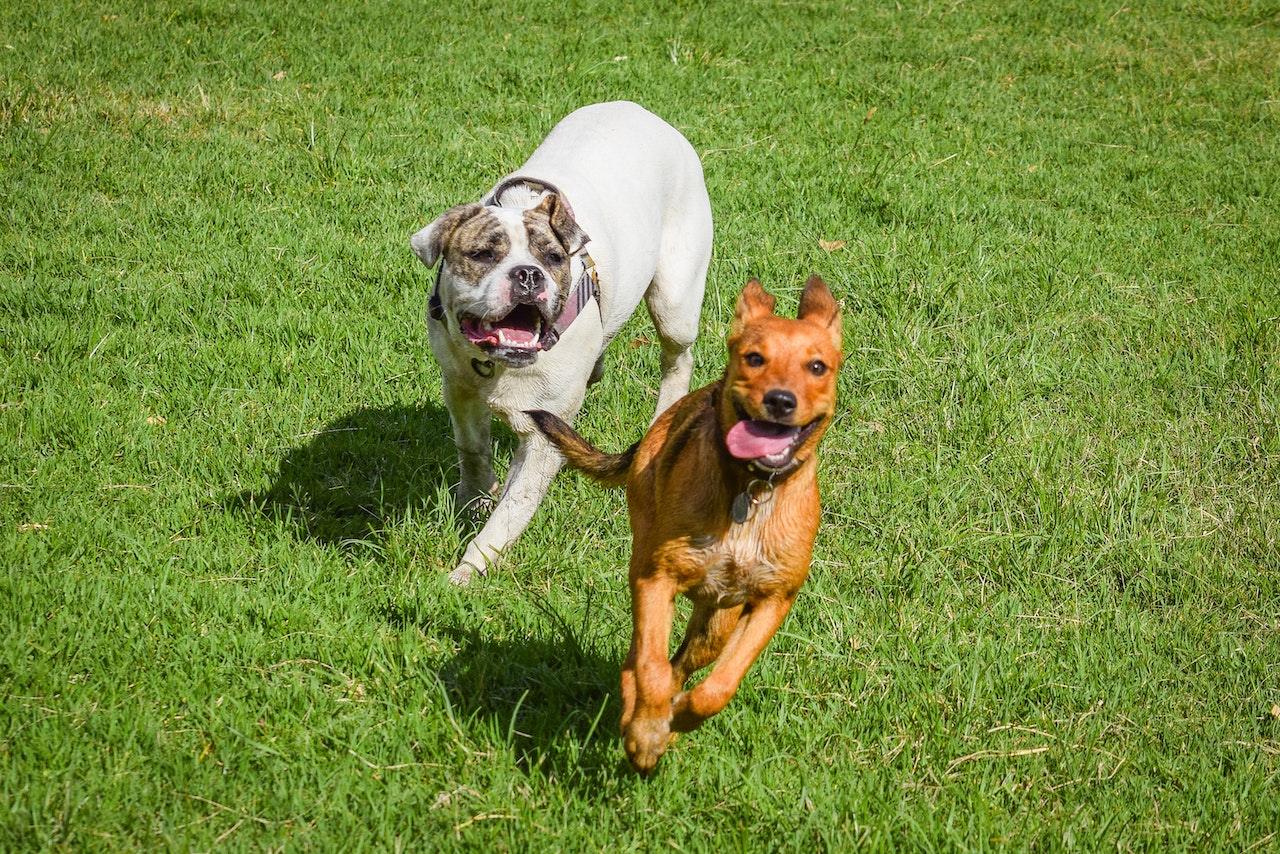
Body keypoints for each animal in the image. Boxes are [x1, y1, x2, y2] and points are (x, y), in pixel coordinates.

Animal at [409, 98, 711, 581]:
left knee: (677, 359)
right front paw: (473, 501)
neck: (500, 366)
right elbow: (472, 450)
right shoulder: (459, 389)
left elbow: (515, 506)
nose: (528, 274)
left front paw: (468, 571)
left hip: (675, 302)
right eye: (482, 254)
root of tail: (641, 110)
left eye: (553, 258)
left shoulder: (544, 435)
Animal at [524, 275, 844, 773]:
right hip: (644, 560)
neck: (751, 489)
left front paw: (677, 720)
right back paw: (640, 720)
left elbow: (719, 687)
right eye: (754, 358)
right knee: (640, 660)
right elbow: (651, 669)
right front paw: (644, 733)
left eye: (817, 367)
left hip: (717, 623)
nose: (780, 400)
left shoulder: (773, 600)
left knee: (684, 663)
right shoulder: (657, 580)